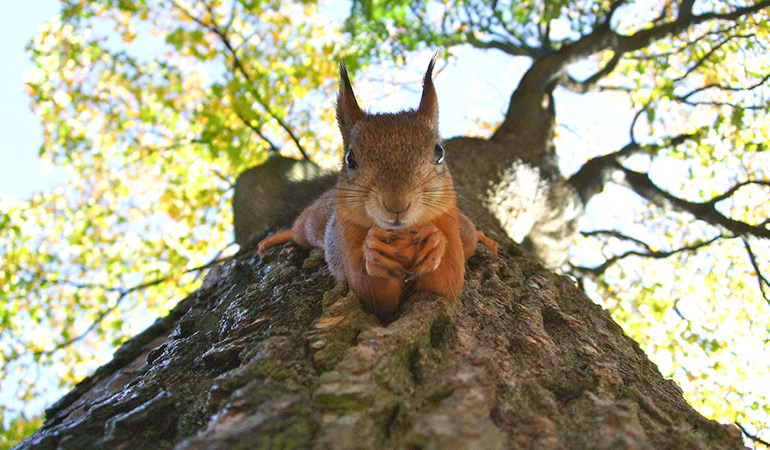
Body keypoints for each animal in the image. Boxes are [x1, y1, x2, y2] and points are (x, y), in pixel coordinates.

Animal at [258, 55, 498, 320]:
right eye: (350, 159)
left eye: (439, 153)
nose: (396, 204)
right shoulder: (347, 234)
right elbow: (373, 294)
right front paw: (374, 250)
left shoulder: (448, 222)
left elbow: (447, 284)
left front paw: (435, 241)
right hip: (313, 223)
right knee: (299, 230)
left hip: (463, 229)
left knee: (470, 234)